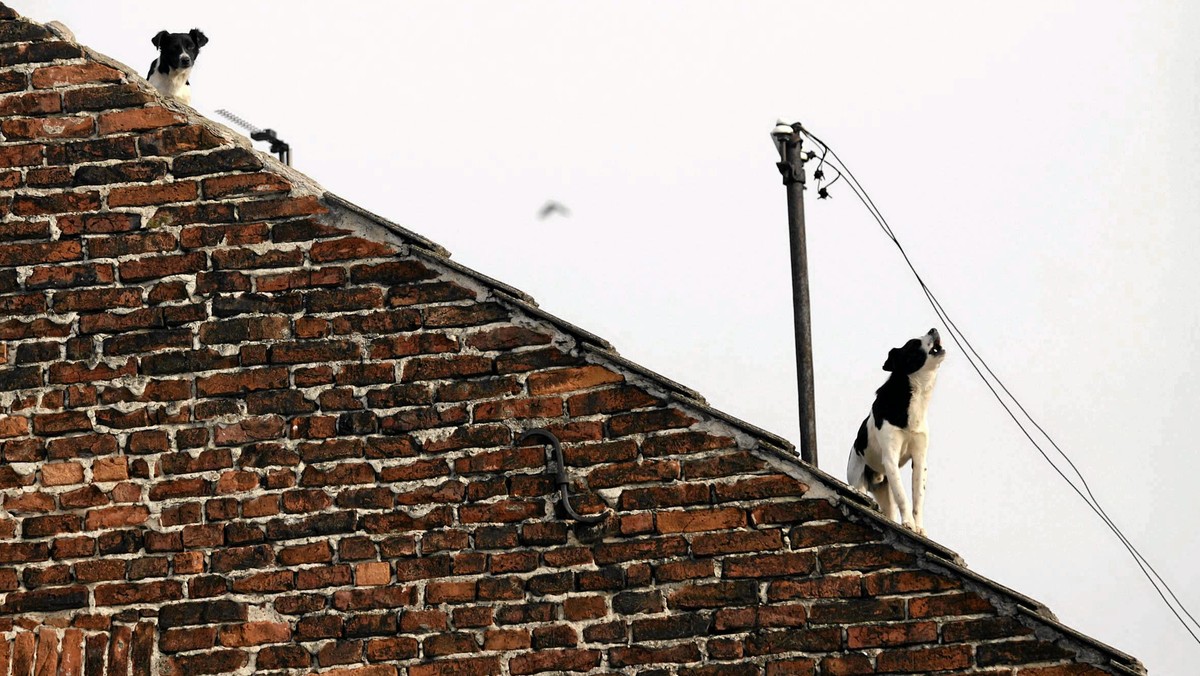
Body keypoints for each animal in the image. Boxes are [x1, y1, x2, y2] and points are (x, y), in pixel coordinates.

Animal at [844, 331, 945, 537]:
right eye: (914, 344)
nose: (933, 329)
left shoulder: (920, 459)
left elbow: (917, 499)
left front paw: (918, 527)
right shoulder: (890, 457)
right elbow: (903, 496)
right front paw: (908, 524)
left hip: (885, 492)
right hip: (858, 481)